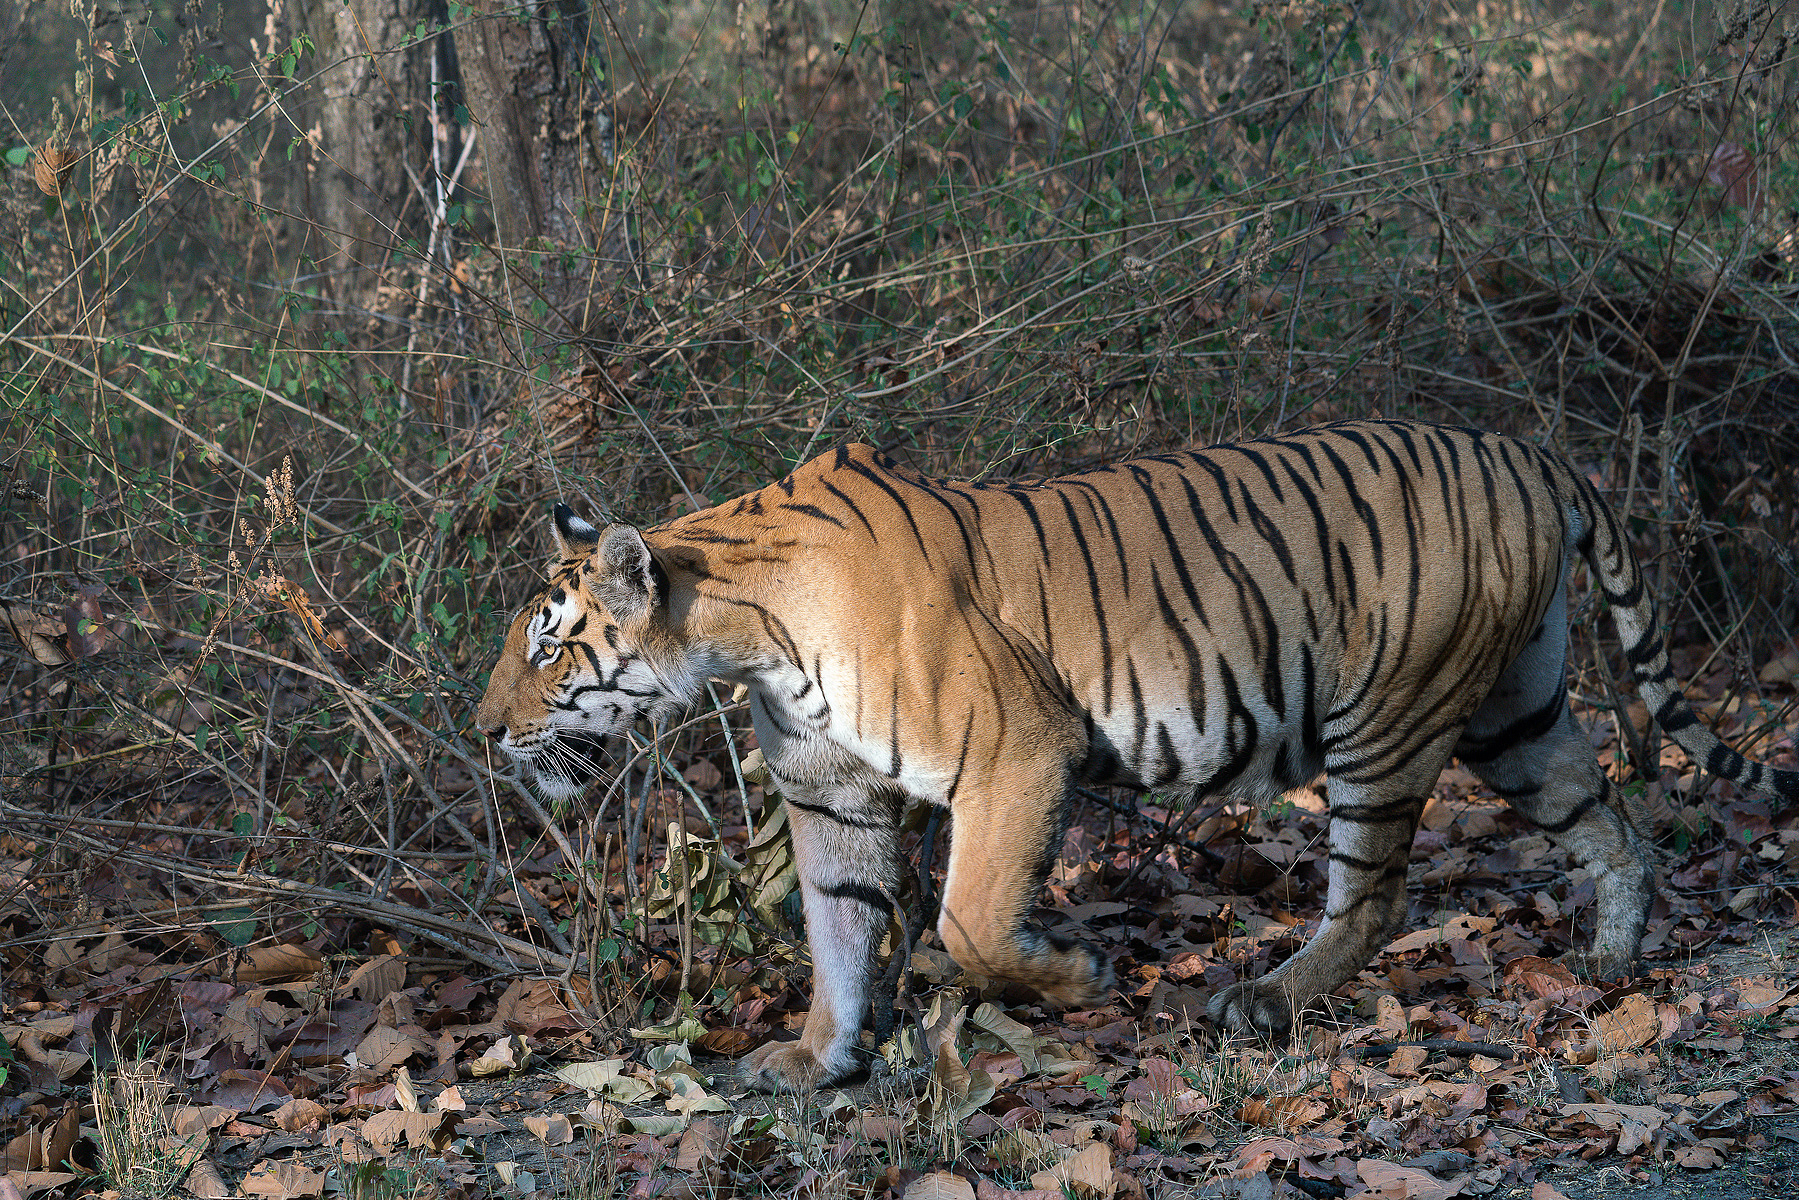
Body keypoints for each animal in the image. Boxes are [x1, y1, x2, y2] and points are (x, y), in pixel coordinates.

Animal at [475, 420, 1799, 1093]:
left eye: (545, 644)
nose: (483, 731)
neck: (744, 631)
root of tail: (1527, 449)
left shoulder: (1013, 752)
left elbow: (967, 922)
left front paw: (1074, 980)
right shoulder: (831, 796)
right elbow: (840, 931)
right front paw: (816, 1056)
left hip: (1388, 717)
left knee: (1374, 897)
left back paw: (1261, 1001)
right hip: (1512, 713)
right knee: (1609, 820)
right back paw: (1613, 960)